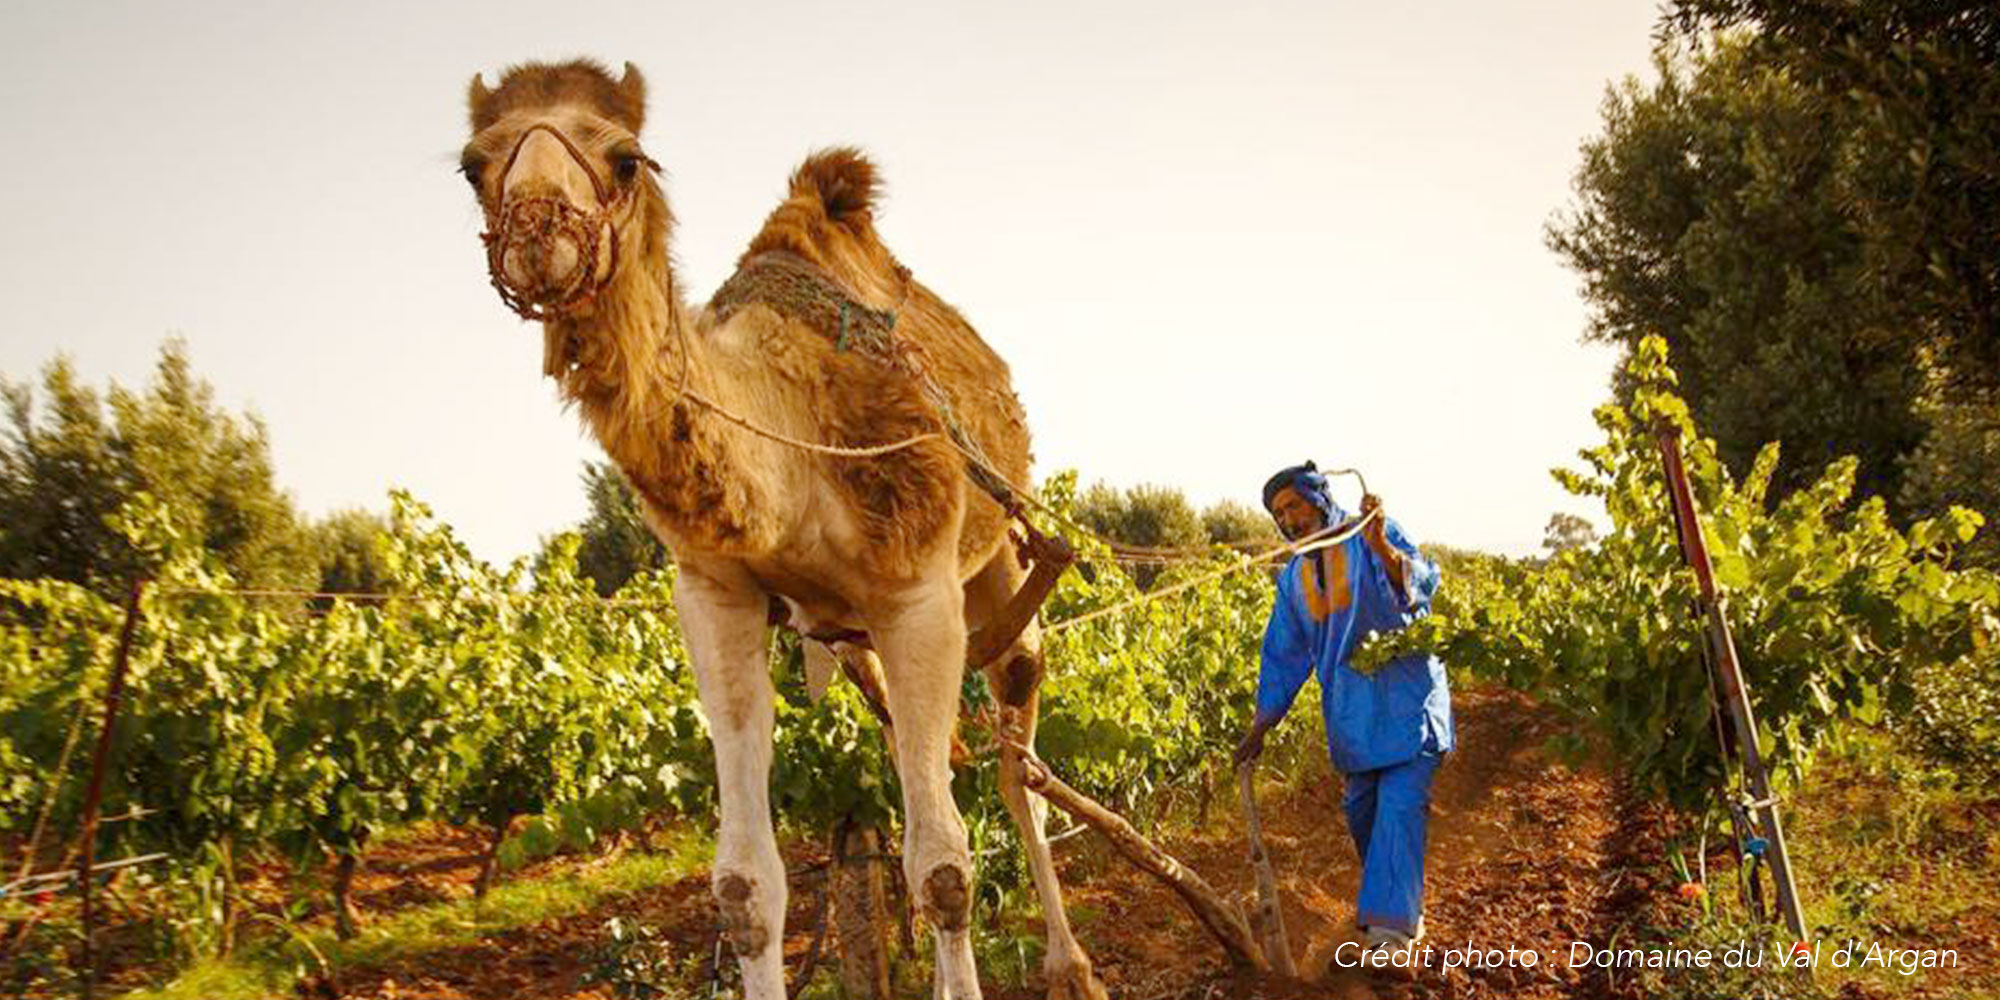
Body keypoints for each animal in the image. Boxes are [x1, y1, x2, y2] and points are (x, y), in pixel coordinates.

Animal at [458, 60, 1112, 1000]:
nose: (536, 232)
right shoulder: (716, 596)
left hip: (989, 556)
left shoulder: (918, 589)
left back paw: (1071, 965)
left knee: (1014, 747)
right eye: (473, 166)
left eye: (625, 158)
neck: (789, 442)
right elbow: (745, 886)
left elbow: (945, 868)